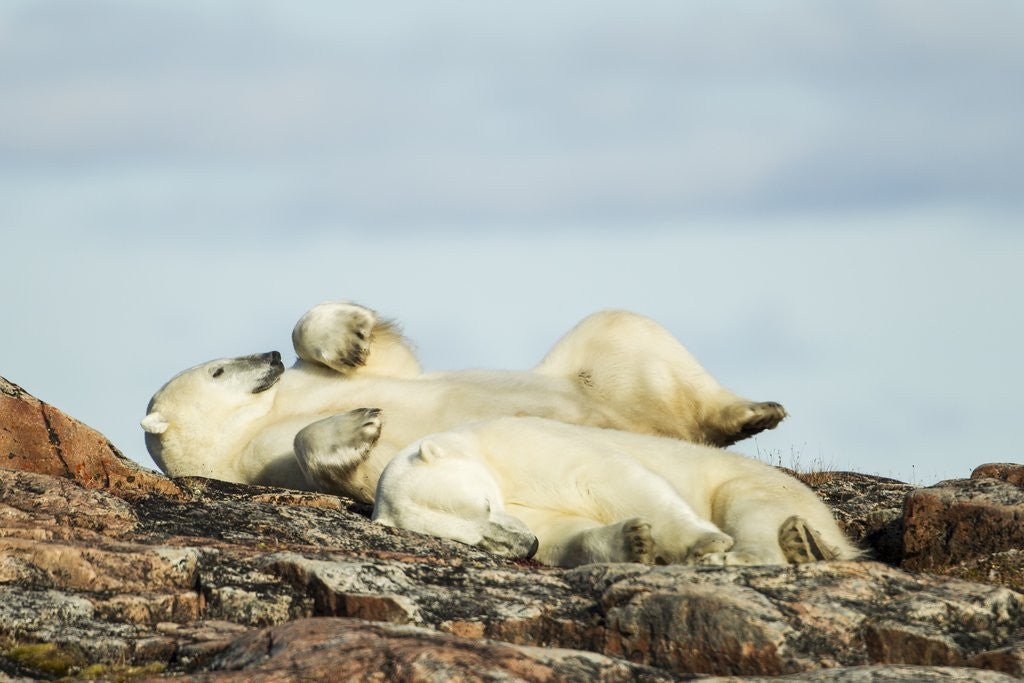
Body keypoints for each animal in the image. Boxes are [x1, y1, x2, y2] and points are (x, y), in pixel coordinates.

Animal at [142, 301, 787, 504]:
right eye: (218, 370)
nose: (269, 357)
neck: (251, 424)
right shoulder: (254, 464)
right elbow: (335, 463)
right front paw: (361, 425)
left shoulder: (303, 387)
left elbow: (382, 361)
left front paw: (348, 338)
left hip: (596, 375)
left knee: (623, 328)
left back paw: (754, 412)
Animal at [373, 416, 859, 567]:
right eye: (471, 538)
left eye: (485, 504)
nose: (525, 545)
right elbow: (564, 531)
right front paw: (634, 541)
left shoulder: (528, 443)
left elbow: (612, 480)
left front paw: (701, 542)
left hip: (760, 481)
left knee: (751, 507)